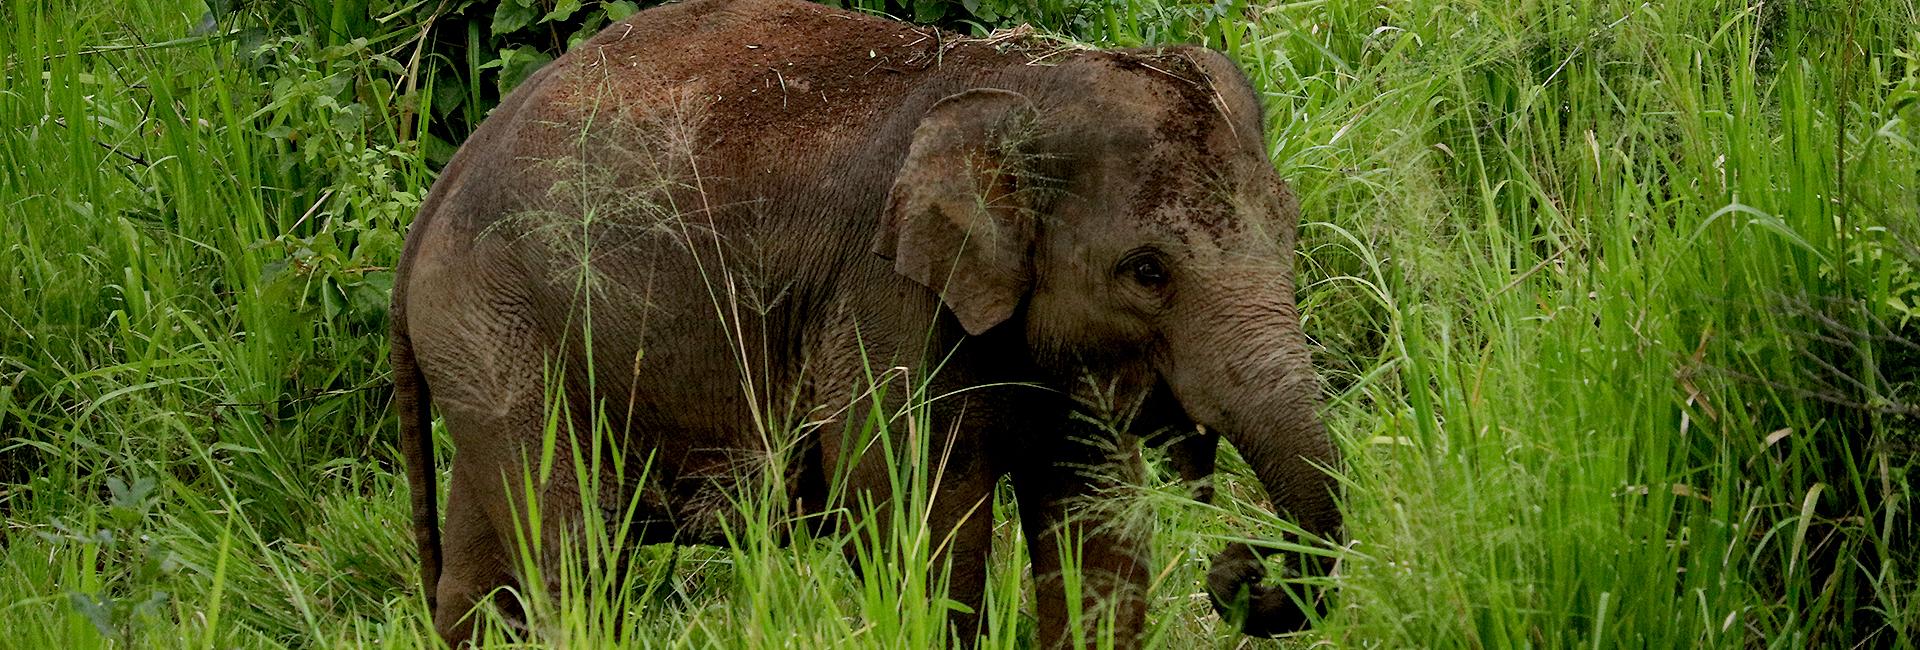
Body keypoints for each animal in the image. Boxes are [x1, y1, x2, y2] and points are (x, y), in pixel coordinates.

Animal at [388, 0, 1342, 645]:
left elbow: (1095, 522)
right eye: (1148, 271)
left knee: (483, 570)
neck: (1025, 82)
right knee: (575, 555)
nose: (1237, 565)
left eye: (1291, 228)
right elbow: (905, 508)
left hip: (486, 344)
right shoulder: (883, 296)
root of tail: (440, 186)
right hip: (497, 329)